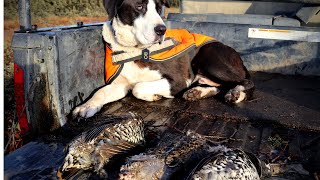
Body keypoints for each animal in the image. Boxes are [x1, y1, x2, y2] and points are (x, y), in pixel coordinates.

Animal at [72, 0, 252, 118]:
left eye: (159, 8)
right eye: (139, 6)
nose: (161, 30)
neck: (134, 49)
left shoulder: (179, 81)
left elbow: (138, 87)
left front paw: (154, 95)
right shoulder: (119, 85)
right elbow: (100, 92)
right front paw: (86, 106)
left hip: (208, 57)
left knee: (245, 82)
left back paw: (236, 94)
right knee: (220, 86)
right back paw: (198, 92)